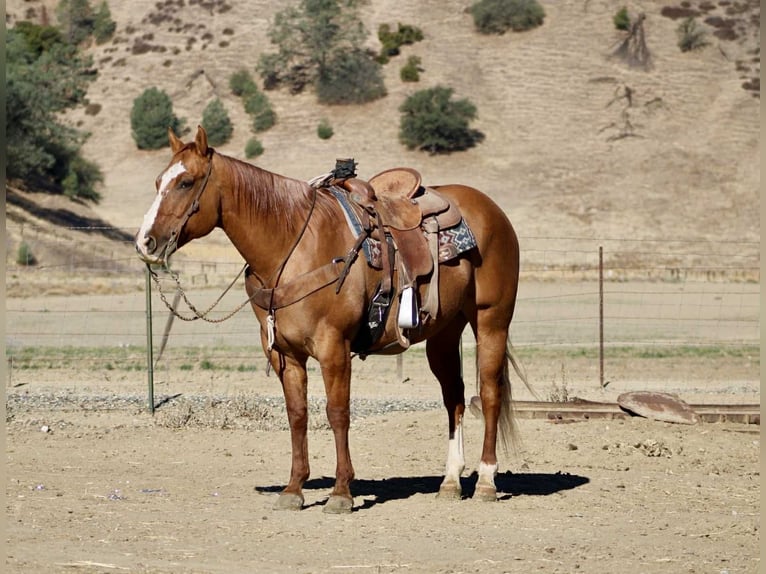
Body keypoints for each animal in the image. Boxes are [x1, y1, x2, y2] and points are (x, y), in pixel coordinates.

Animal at [136, 126, 525, 513]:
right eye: (157, 182)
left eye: (186, 182)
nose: (145, 243)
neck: (294, 247)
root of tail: (493, 211)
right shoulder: (284, 354)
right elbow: (297, 414)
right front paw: (294, 488)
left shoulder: (333, 348)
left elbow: (337, 413)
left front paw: (341, 492)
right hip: (444, 332)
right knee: (454, 396)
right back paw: (450, 481)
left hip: (491, 321)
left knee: (489, 393)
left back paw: (486, 480)